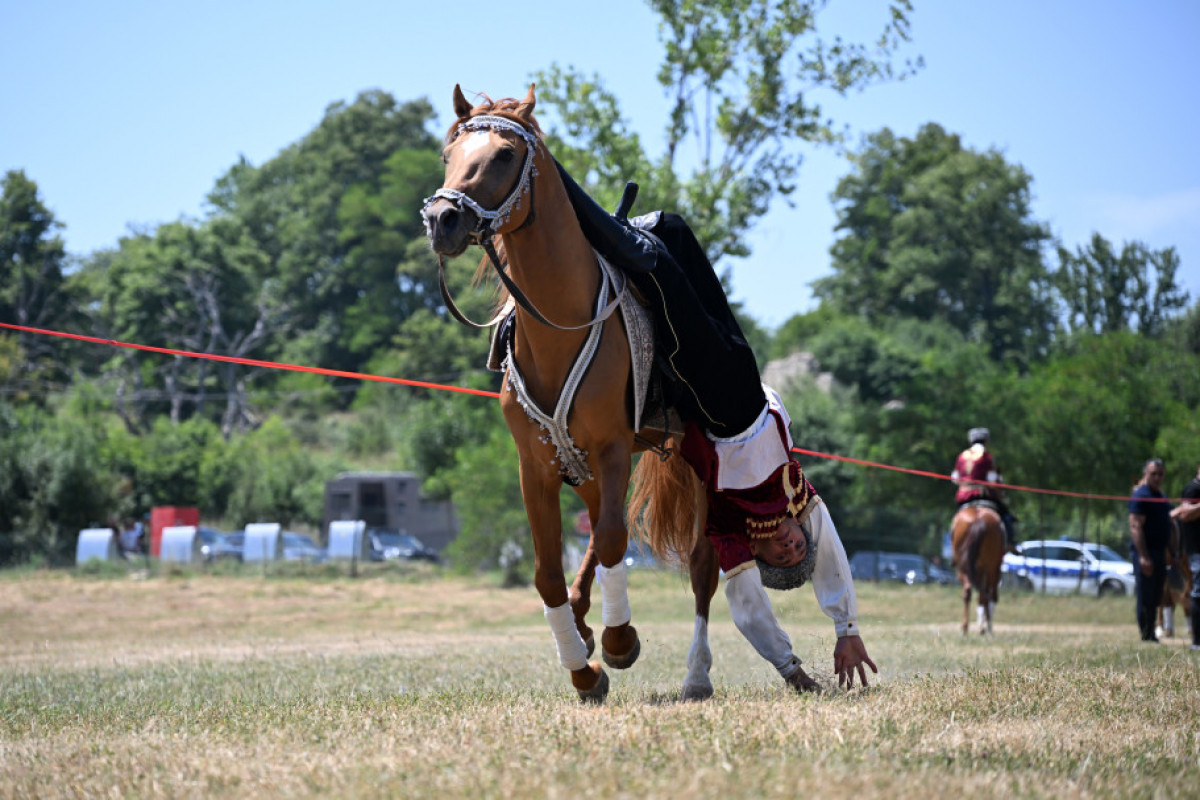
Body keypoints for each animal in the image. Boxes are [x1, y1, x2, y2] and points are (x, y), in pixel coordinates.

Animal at [423, 85, 691, 702]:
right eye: (448, 154)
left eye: (503, 155)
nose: (442, 219)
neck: (557, 328)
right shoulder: (536, 467)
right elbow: (546, 571)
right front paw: (582, 668)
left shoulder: (614, 448)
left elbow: (615, 539)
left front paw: (618, 642)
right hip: (583, 468)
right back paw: (583, 619)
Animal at [950, 503, 1005, 635]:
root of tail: (978, 519)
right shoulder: (993, 570)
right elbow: (988, 596)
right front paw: (985, 626)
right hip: (989, 568)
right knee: (985, 594)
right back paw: (986, 627)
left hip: (965, 568)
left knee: (968, 591)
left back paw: (965, 627)